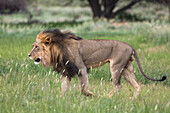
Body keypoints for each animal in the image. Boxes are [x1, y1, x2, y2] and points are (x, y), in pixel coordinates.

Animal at [27, 28, 166, 98]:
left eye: (36, 47)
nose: (28, 55)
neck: (57, 49)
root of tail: (130, 46)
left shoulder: (81, 68)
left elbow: (83, 88)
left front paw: (92, 95)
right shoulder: (66, 71)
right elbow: (64, 87)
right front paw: (61, 99)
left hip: (115, 67)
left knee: (118, 85)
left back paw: (107, 97)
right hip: (126, 68)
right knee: (137, 85)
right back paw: (133, 100)